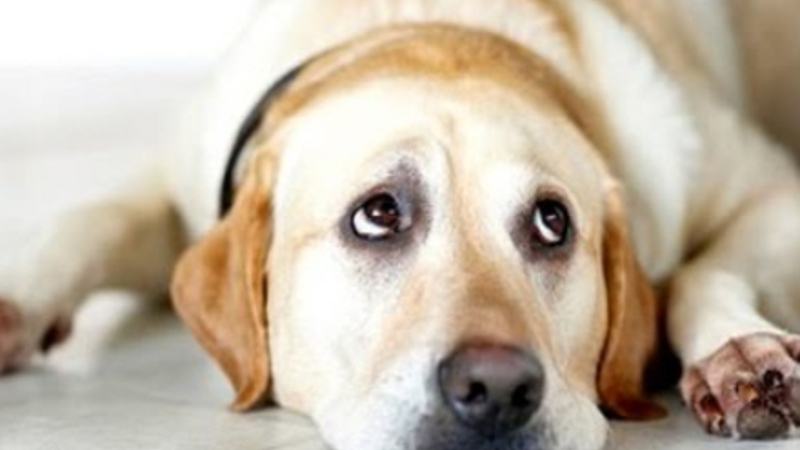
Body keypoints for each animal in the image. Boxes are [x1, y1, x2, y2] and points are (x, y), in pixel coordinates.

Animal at [2, 0, 800, 449]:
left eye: (552, 223)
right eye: (378, 214)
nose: (497, 389)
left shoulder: (773, 188)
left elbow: (700, 271)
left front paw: (736, 349)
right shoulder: (181, 182)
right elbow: (87, 221)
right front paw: (15, 299)